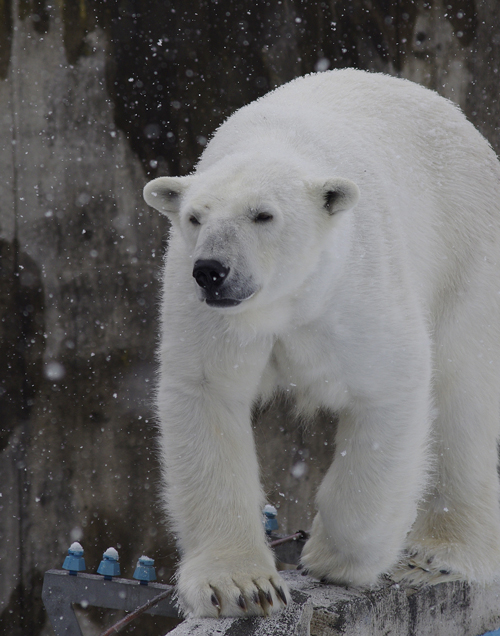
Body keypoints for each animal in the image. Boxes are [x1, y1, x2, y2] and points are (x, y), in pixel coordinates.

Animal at [142, 68, 500, 616]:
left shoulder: (357, 286)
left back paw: (438, 555)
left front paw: (333, 559)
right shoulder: (210, 316)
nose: (212, 270)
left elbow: (389, 387)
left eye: (263, 215)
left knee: (462, 390)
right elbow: (208, 394)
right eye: (195, 217)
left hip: (466, 246)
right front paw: (242, 587)